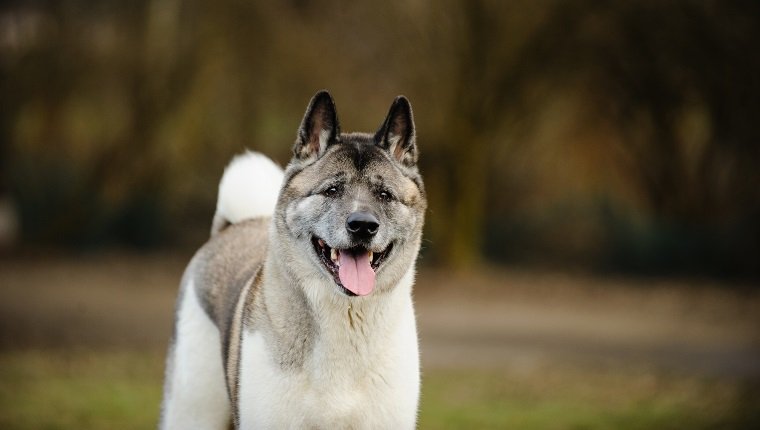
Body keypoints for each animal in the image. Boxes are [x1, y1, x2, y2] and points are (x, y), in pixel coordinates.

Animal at [159, 89, 428, 428]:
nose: (363, 225)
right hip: (192, 410)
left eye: (384, 195)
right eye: (332, 190)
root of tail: (233, 225)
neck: (345, 315)